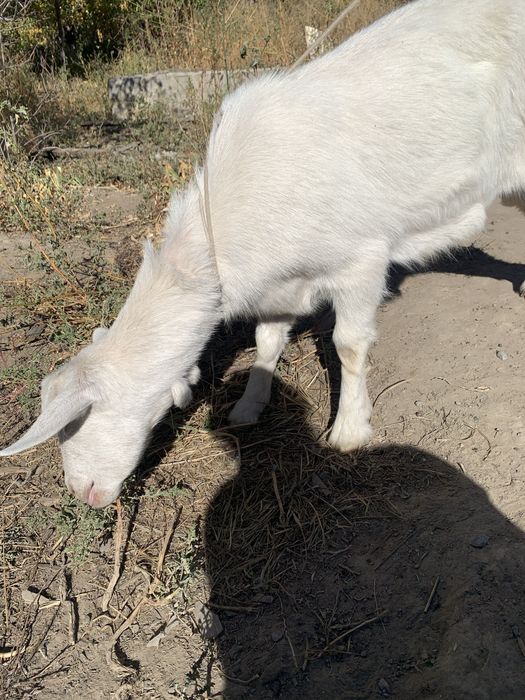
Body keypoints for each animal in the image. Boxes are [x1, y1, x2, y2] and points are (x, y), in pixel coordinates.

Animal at [2, 0, 525, 507]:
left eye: (74, 424)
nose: (82, 493)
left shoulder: (361, 261)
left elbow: (349, 345)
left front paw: (349, 431)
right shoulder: (281, 283)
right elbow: (267, 342)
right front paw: (248, 407)